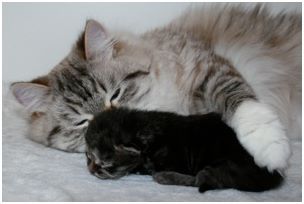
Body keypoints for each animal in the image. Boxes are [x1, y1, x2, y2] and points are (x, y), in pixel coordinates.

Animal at [10, 3, 300, 171]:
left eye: (116, 94)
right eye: (83, 122)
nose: (109, 127)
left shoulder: (208, 67)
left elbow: (241, 101)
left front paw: (271, 148)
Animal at [85, 108, 282, 193]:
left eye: (106, 164)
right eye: (88, 157)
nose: (92, 170)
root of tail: (274, 175)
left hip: (225, 164)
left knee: (201, 180)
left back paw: (164, 177)